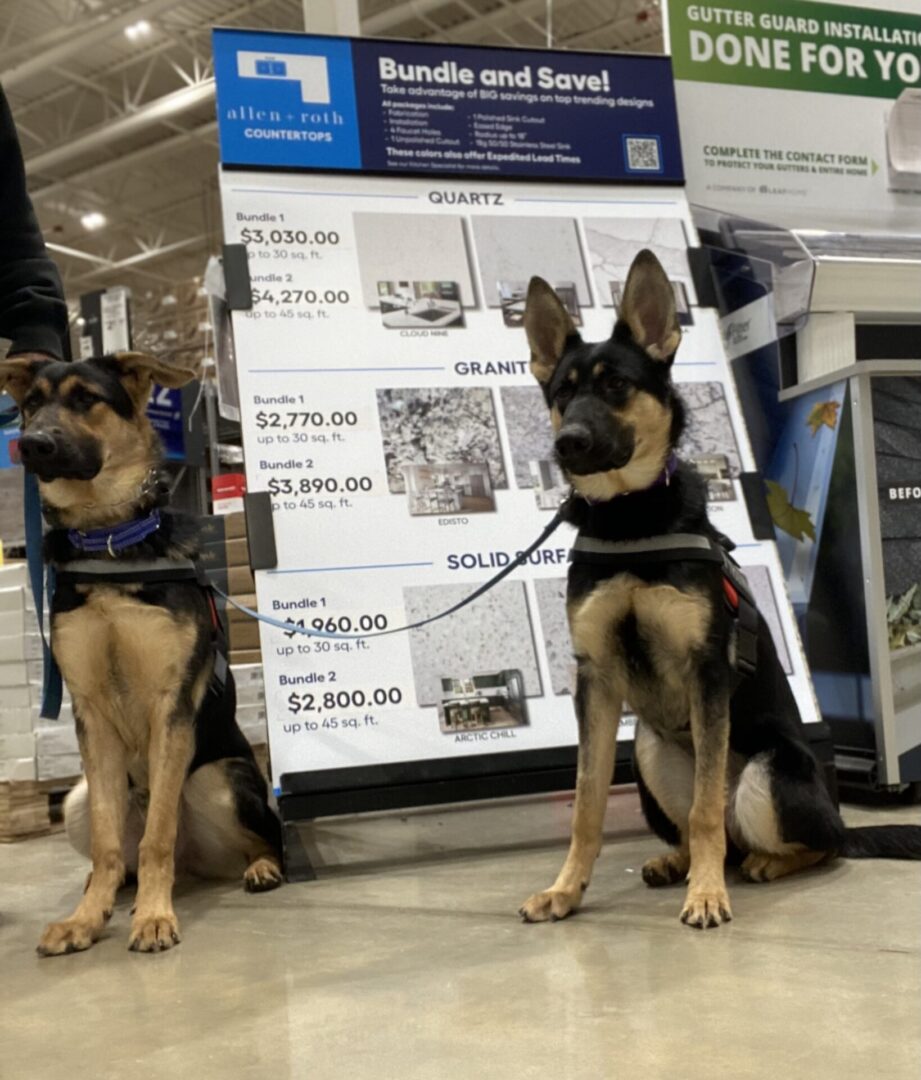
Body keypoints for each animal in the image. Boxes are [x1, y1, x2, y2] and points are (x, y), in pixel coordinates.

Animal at [0, 352, 282, 954]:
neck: (107, 539)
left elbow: (157, 838)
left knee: (255, 839)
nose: (31, 444)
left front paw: (154, 916)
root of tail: (194, 866)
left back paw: (260, 869)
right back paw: (106, 892)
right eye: (31, 403)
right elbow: (110, 844)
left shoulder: (170, 707)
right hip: (78, 797)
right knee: (117, 855)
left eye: (86, 399)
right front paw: (86, 920)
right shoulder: (92, 719)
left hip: (218, 779)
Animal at [518, 250, 919, 928]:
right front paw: (566, 889)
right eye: (562, 392)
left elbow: (706, 810)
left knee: (808, 841)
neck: (631, 520)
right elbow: (587, 803)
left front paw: (706, 895)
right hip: (649, 750)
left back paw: (756, 865)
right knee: (704, 826)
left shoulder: (706, 671)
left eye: (616, 385)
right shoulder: (594, 680)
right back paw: (677, 862)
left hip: (768, 771)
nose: (567, 444)